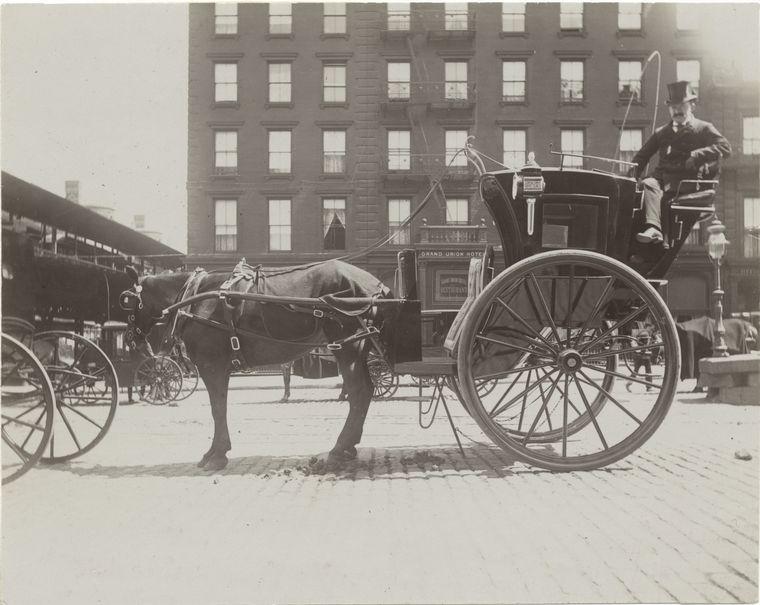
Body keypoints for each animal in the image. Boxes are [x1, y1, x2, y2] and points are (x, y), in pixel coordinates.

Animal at [121, 258, 394, 470]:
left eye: (126, 300)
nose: (130, 339)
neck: (195, 298)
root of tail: (374, 284)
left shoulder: (212, 366)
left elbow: (218, 409)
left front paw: (217, 454)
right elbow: (219, 407)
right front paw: (215, 451)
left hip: (348, 349)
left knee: (358, 392)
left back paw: (339, 448)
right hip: (356, 349)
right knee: (365, 392)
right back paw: (348, 446)